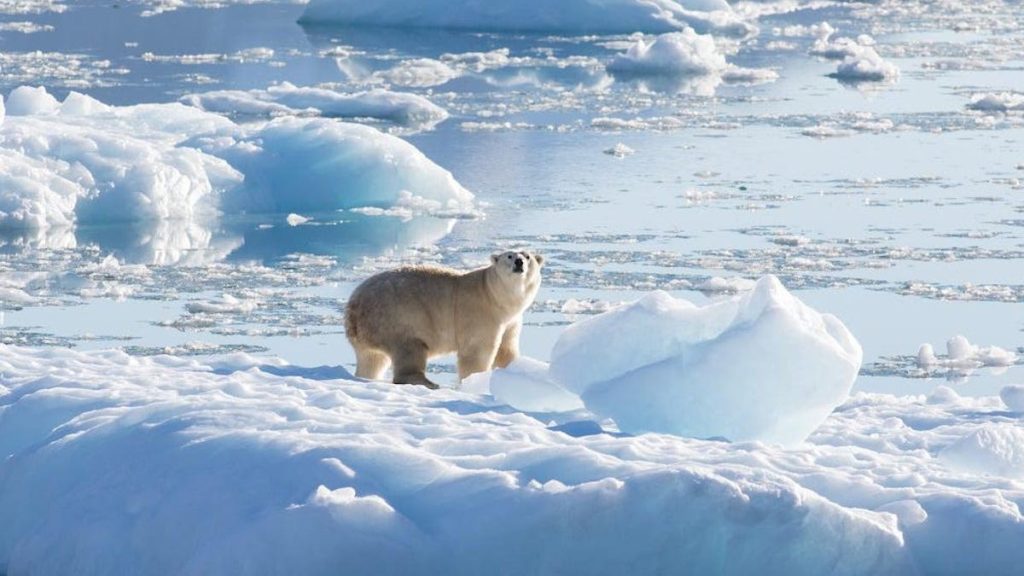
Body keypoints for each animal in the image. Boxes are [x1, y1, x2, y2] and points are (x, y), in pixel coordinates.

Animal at [344, 249, 544, 387]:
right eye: (509, 256)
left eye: (527, 256)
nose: (519, 262)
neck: (494, 295)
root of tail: (353, 306)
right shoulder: (479, 312)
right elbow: (476, 352)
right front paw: (475, 381)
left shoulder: (511, 320)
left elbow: (506, 349)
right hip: (397, 317)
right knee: (410, 348)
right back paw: (429, 383)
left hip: (371, 330)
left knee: (372, 359)